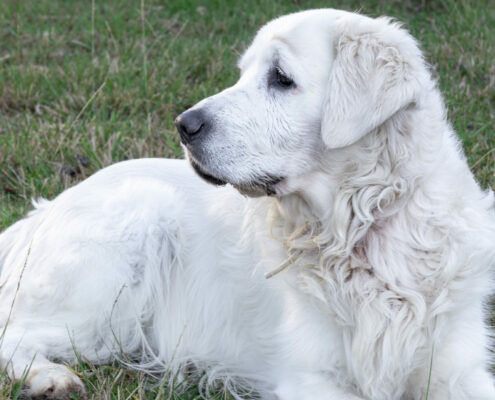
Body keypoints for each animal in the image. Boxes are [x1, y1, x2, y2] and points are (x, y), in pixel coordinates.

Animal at [0, 9, 495, 400]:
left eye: (281, 78)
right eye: (242, 74)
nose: (184, 125)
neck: (361, 227)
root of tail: (42, 211)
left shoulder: (458, 368)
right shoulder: (310, 375)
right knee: (14, 333)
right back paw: (50, 378)